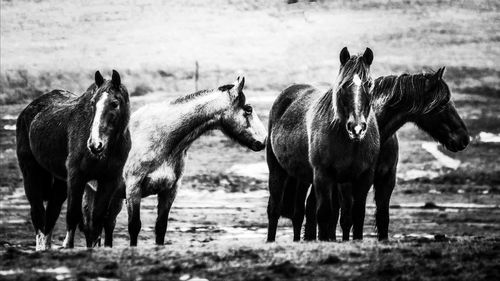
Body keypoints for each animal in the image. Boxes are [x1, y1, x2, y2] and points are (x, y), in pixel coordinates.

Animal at [16, 70, 131, 249]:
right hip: (31, 173)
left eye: (114, 103)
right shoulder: (77, 177)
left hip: (60, 181)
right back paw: (41, 247)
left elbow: (97, 219)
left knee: (52, 213)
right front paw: (68, 246)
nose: (94, 144)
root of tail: (29, 109)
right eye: (93, 103)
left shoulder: (109, 180)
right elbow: (73, 215)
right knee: (38, 214)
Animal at [83, 75, 268, 244]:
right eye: (248, 109)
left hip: (114, 197)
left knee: (108, 224)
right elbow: (134, 227)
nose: (264, 140)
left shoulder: (169, 191)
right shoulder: (133, 189)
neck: (162, 138)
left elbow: (161, 228)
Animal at [266, 46, 378, 241]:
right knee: (274, 209)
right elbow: (325, 214)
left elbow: (357, 216)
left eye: (369, 84)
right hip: (277, 171)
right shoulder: (322, 175)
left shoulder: (362, 177)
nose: (357, 128)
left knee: (298, 213)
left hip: (302, 177)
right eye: (343, 85)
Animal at [290, 66, 468, 240]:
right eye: (443, 103)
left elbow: (382, 219)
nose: (464, 138)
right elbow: (347, 220)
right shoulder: (347, 184)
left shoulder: (386, 180)